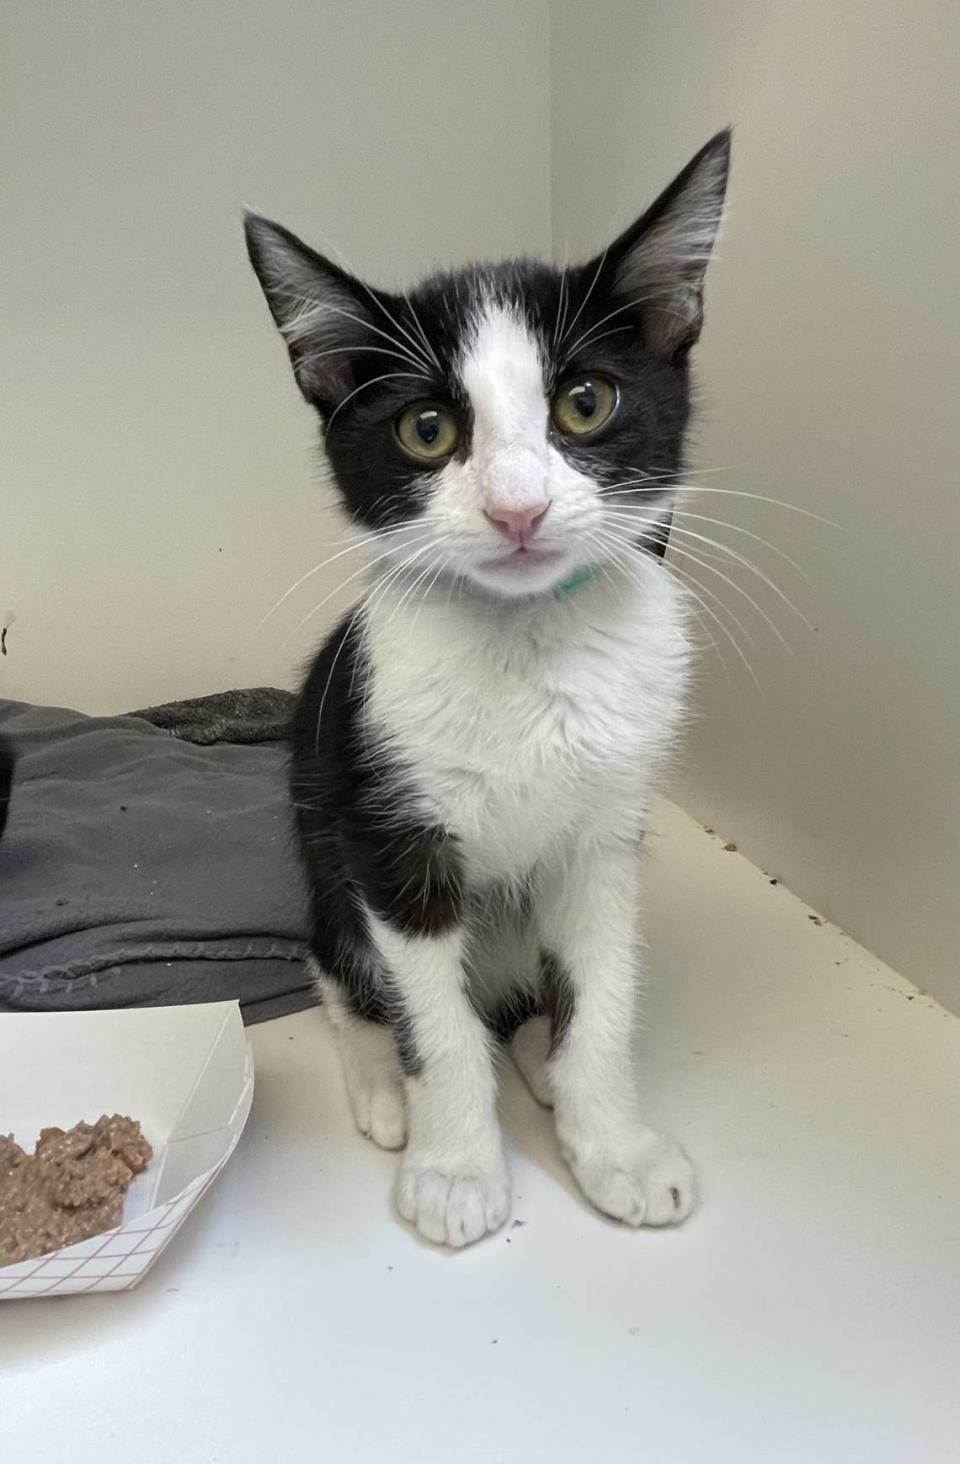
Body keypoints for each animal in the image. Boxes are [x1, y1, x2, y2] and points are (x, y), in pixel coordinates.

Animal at [245, 128, 728, 1247]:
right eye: (427, 429)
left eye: (586, 403)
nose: (517, 508)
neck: (529, 640)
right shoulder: (387, 830)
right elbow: (435, 1022)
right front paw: (456, 1167)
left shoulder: (606, 833)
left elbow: (603, 994)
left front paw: (615, 1143)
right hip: (325, 853)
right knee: (341, 973)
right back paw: (382, 1087)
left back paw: (540, 1056)